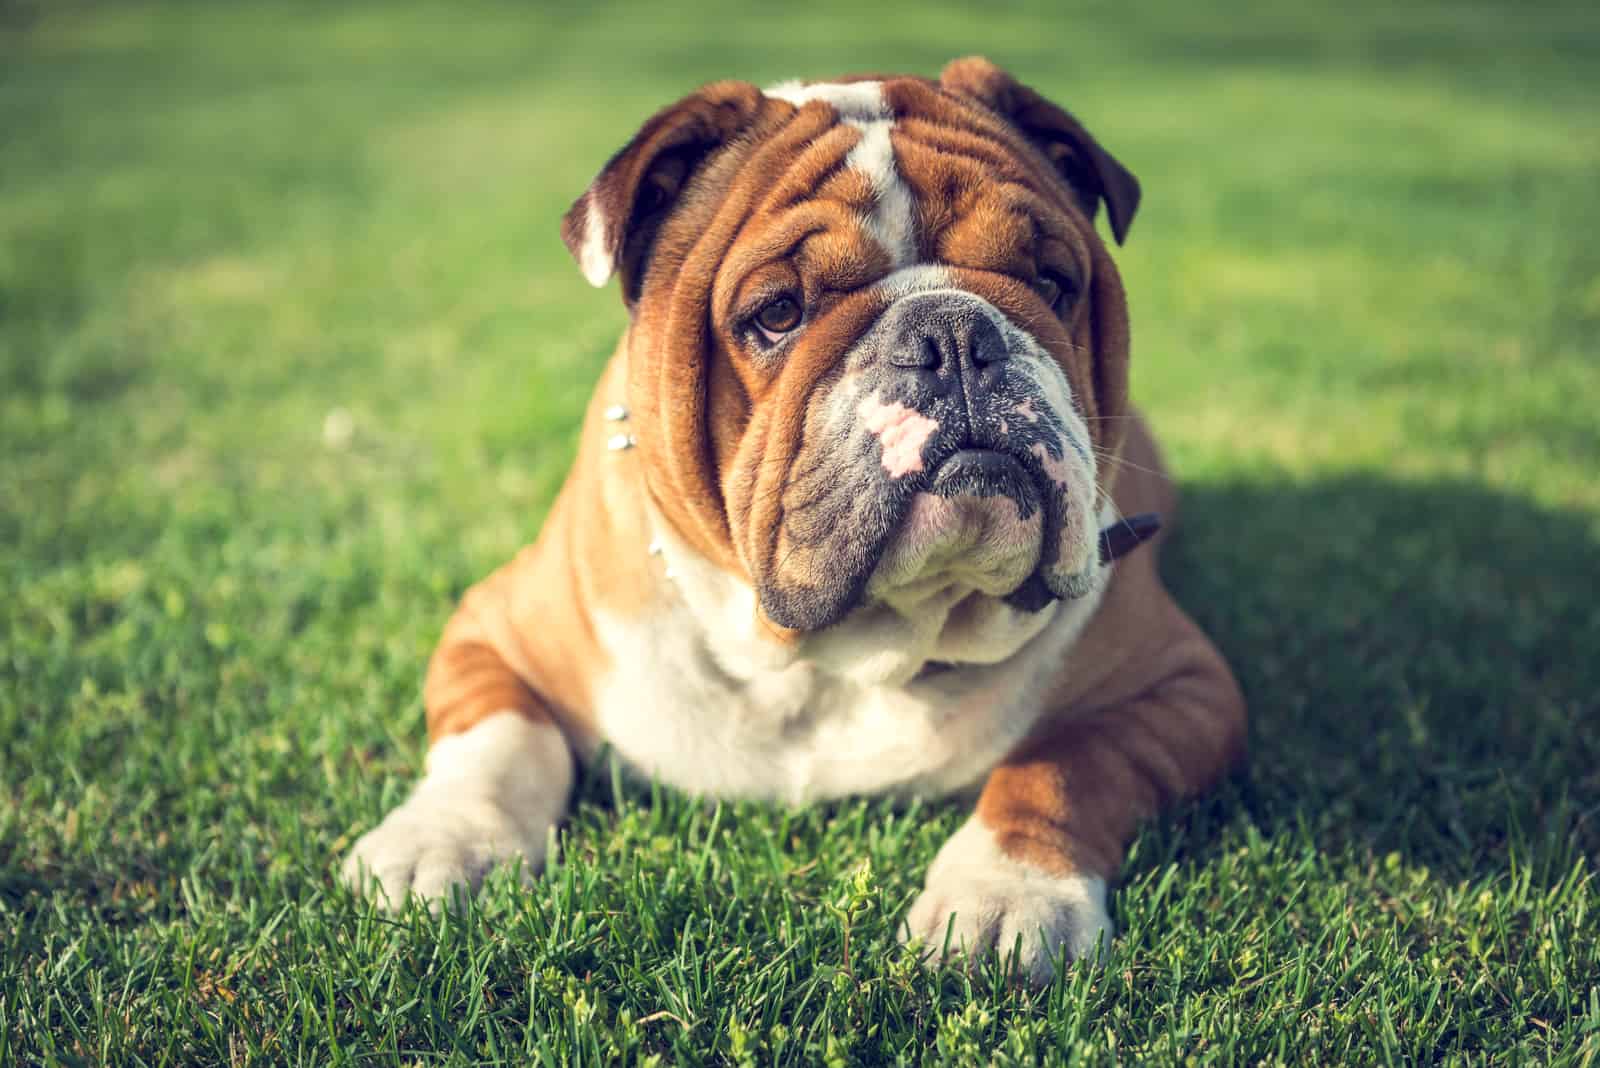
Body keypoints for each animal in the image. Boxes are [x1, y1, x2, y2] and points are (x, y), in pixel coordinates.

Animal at [344, 54, 1248, 978]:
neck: (837, 655)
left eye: (1052, 283)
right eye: (777, 312)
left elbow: (1064, 763)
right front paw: (441, 842)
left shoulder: (1181, 685)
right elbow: (497, 734)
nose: (953, 336)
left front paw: (1007, 896)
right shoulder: (493, 629)